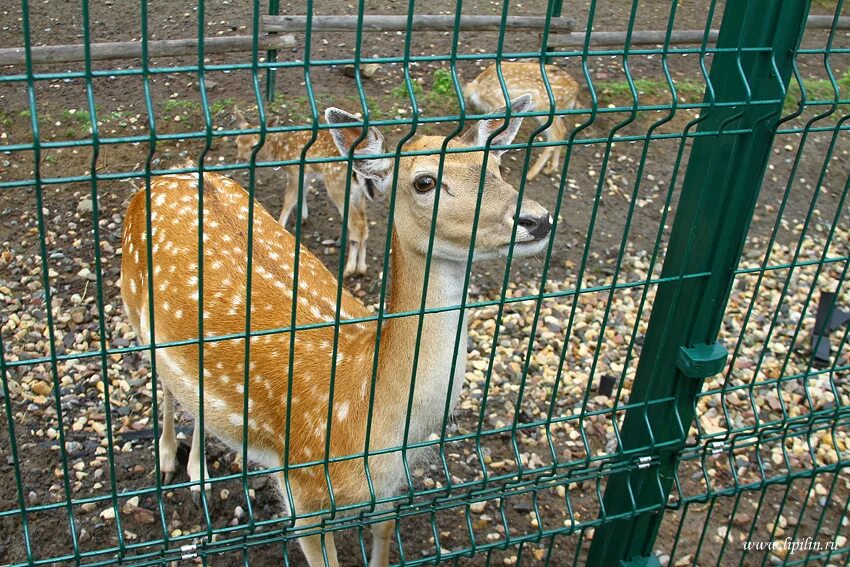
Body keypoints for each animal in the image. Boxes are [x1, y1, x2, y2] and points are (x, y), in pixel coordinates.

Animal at [234, 108, 376, 278]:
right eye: (236, 143)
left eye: (254, 146)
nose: (240, 162)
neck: (280, 151)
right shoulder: (306, 173)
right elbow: (302, 193)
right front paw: (303, 217)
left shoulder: (295, 171)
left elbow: (289, 200)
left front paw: (280, 225)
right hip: (358, 193)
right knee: (364, 226)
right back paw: (362, 267)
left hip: (337, 185)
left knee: (356, 225)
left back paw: (349, 269)